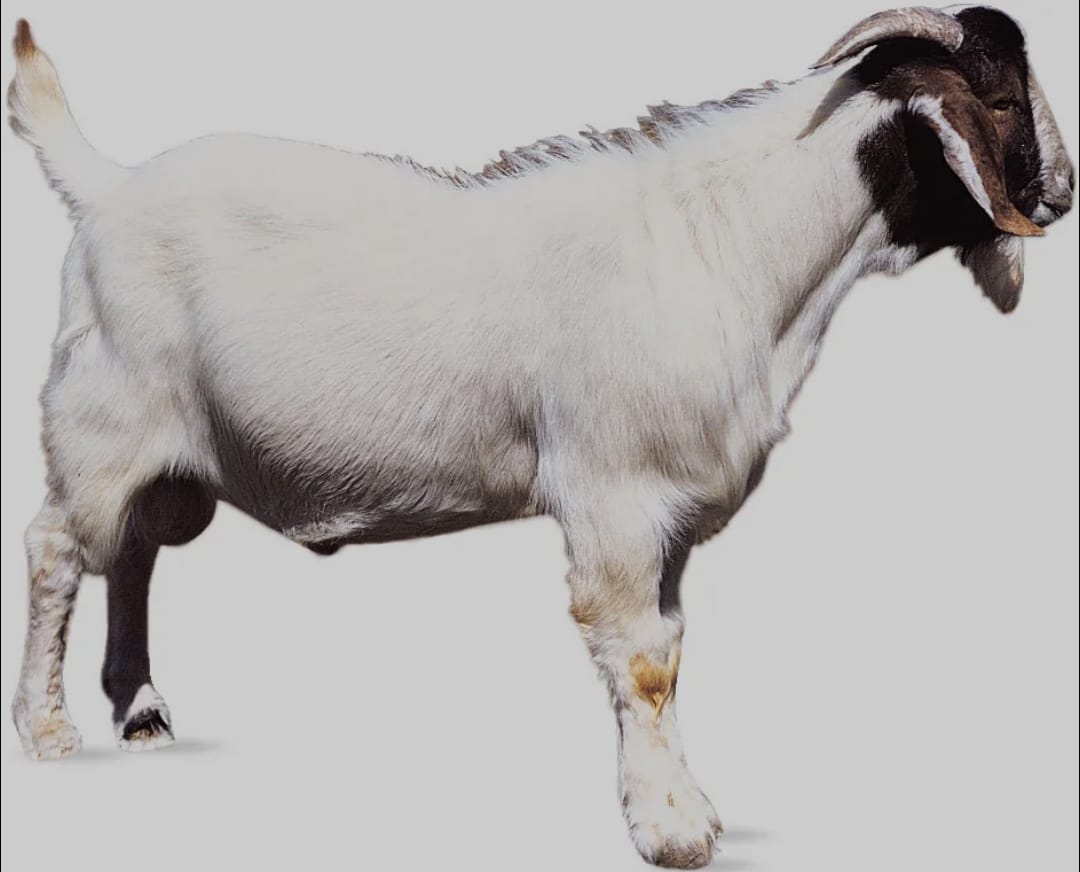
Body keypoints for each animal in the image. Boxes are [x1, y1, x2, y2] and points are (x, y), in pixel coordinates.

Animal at [7, 7, 1074, 868]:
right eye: (1000, 98)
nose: (1062, 191)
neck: (730, 245)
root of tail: (106, 189)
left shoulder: (670, 516)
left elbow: (671, 645)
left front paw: (689, 813)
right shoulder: (616, 494)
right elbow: (642, 660)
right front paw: (673, 832)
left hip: (167, 462)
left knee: (133, 552)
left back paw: (141, 710)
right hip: (99, 423)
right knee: (59, 549)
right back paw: (48, 729)